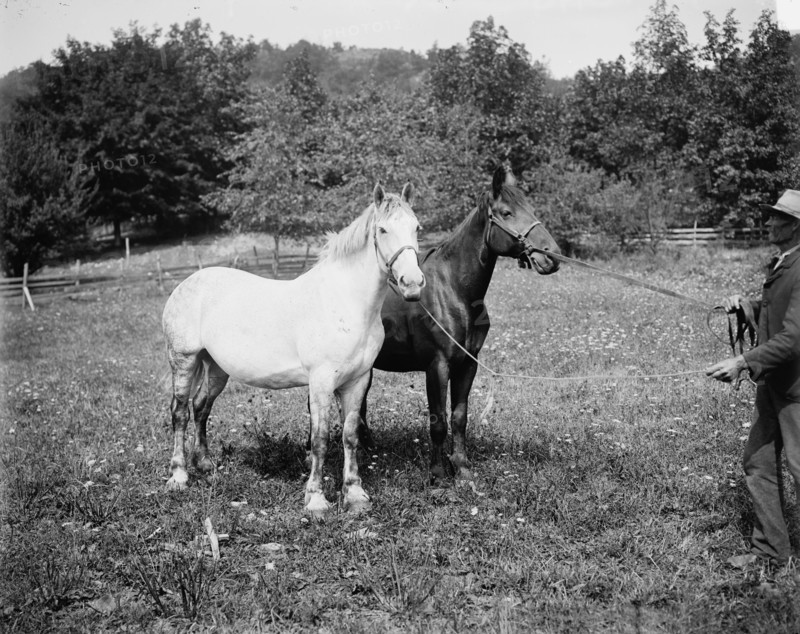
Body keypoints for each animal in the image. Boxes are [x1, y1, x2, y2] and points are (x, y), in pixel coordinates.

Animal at [162, 182, 425, 517]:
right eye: (383, 229)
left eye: (416, 227)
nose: (412, 283)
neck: (344, 302)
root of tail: (186, 284)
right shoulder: (322, 382)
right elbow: (320, 439)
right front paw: (316, 500)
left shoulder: (357, 381)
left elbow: (350, 436)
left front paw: (355, 495)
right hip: (183, 361)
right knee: (180, 412)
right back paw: (179, 476)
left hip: (217, 368)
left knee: (200, 408)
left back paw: (207, 466)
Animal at [361, 165, 561, 484]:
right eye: (506, 213)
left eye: (530, 209)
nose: (550, 255)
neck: (453, 289)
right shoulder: (437, 365)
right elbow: (438, 420)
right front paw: (438, 475)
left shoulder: (468, 364)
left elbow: (459, 417)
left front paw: (463, 468)